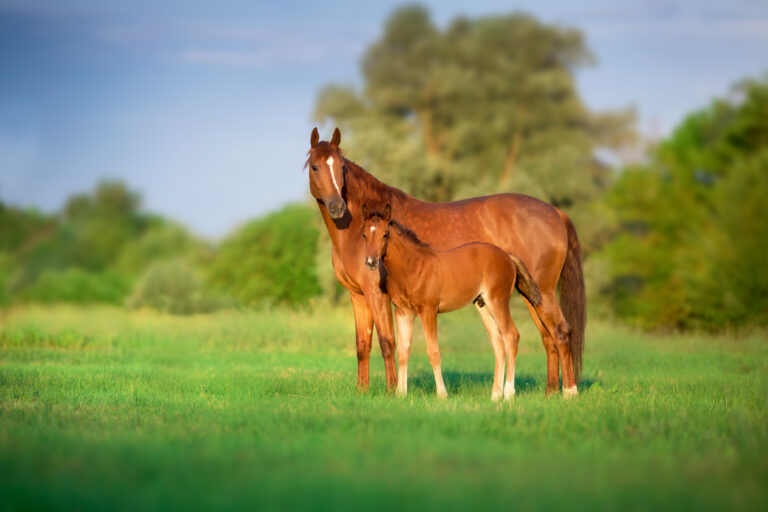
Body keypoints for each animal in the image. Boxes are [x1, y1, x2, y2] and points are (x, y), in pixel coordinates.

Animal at [361, 204, 543, 400]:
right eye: (364, 234)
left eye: (385, 234)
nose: (370, 262)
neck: (412, 267)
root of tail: (508, 256)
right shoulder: (403, 312)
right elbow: (403, 352)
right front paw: (401, 394)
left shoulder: (428, 311)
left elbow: (434, 352)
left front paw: (442, 394)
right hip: (484, 306)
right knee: (498, 344)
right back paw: (495, 395)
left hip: (498, 301)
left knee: (511, 336)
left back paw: (508, 393)